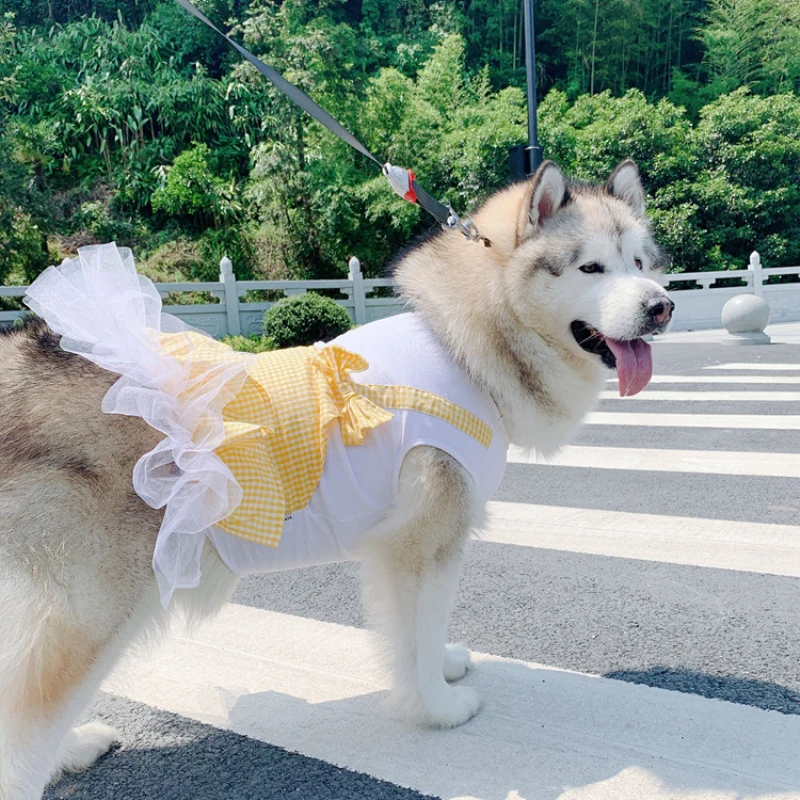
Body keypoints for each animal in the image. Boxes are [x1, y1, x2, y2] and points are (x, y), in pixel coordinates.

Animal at [0, 159, 676, 796]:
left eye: (642, 264)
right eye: (591, 268)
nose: (661, 306)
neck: (461, 348)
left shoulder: (425, 548)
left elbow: (425, 632)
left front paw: (444, 667)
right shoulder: (417, 547)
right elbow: (414, 641)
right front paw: (439, 707)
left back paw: (72, 750)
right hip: (89, 612)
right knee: (25, 725)